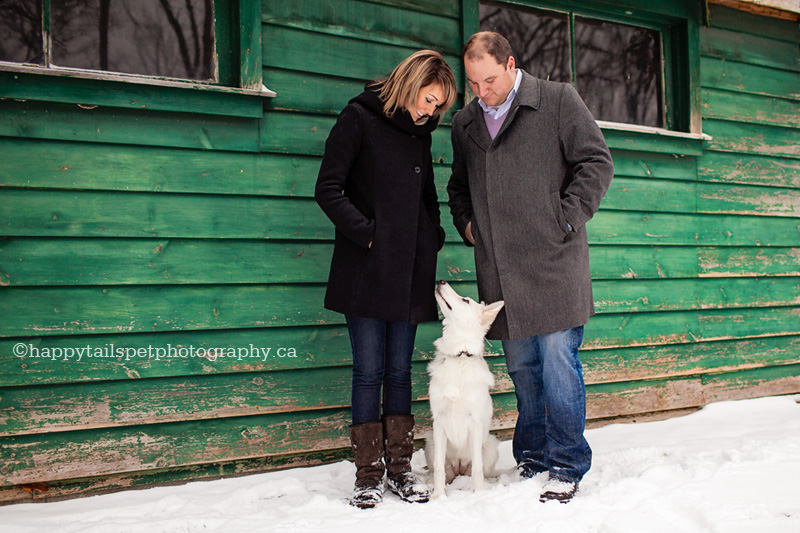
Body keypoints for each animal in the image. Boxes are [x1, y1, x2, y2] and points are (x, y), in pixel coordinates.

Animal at [428, 280, 504, 496]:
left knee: (479, 471)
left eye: (465, 300)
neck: (459, 355)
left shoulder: (475, 424)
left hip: (490, 446)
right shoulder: (439, 422)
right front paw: (438, 497)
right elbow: (438, 468)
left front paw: (478, 495)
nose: (441, 281)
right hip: (431, 442)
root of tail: (460, 467)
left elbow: (477, 469)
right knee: (443, 471)